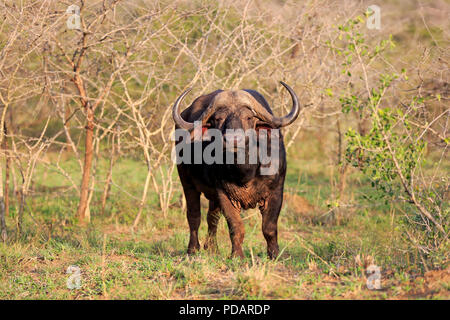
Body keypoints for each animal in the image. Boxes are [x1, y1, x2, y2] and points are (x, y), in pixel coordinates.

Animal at [172, 81, 298, 258]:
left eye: (249, 117)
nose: (233, 140)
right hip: (187, 183)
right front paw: (237, 255)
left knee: (212, 218)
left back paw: (213, 249)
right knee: (194, 216)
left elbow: (269, 227)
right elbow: (236, 226)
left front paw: (274, 254)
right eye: (218, 119)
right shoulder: (223, 194)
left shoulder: (276, 191)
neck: (245, 172)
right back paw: (193, 249)